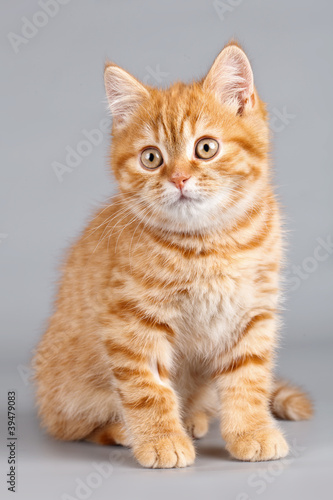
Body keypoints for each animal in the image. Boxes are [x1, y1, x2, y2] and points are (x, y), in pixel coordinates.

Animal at [33, 43, 312, 468]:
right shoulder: (131, 321)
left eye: (206, 148)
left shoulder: (252, 312)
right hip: (66, 394)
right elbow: (147, 387)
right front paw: (161, 440)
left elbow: (248, 379)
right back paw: (125, 431)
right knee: (74, 427)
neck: (210, 242)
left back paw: (194, 417)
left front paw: (251, 431)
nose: (179, 178)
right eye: (151, 158)